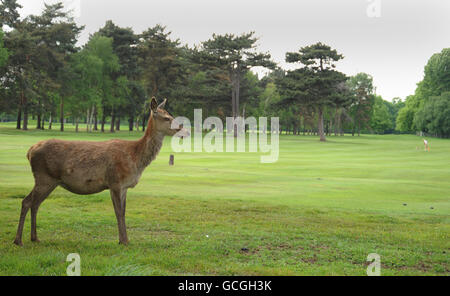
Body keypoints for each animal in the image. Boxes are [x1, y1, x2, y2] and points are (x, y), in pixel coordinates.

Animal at [13, 97, 190, 245]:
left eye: (171, 115)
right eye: (167, 118)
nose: (187, 132)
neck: (136, 159)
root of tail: (29, 151)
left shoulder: (124, 186)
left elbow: (123, 211)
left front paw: (123, 239)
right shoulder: (115, 181)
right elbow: (119, 212)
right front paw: (124, 241)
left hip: (50, 181)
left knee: (35, 204)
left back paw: (34, 238)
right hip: (44, 177)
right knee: (27, 202)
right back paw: (18, 240)